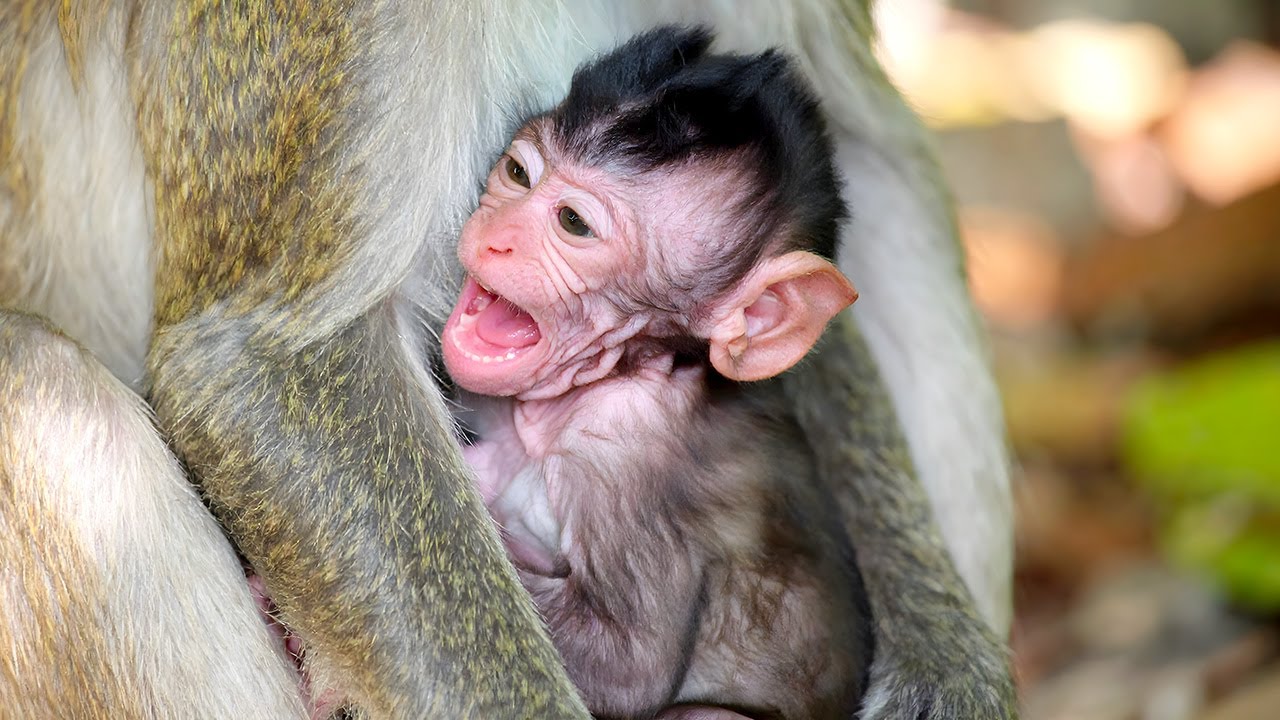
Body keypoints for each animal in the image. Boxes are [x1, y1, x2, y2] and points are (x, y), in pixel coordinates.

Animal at [0, 2, 1016, 718]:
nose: (495, 239)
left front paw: (948, 663)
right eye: (518, 175)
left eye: (572, 224)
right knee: (40, 384)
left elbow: (855, 164)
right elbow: (260, 357)